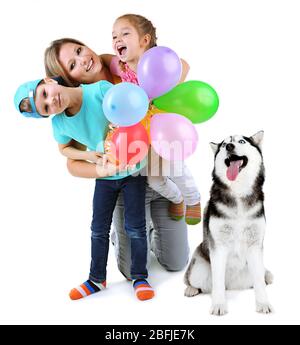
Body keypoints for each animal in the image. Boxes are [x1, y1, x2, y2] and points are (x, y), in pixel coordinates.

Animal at [184, 131, 274, 314]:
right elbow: (218, 282)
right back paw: (190, 289)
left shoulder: (255, 245)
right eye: (224, 144)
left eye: (241, 141)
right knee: (193, 280)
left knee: (261, 275)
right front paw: (219, 305)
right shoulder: (218, 246)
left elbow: (259, 282)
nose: (230, 146)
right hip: (198, 270)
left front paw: (263, 303)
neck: (238, 191)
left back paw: (267, 276)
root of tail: (233, 285)